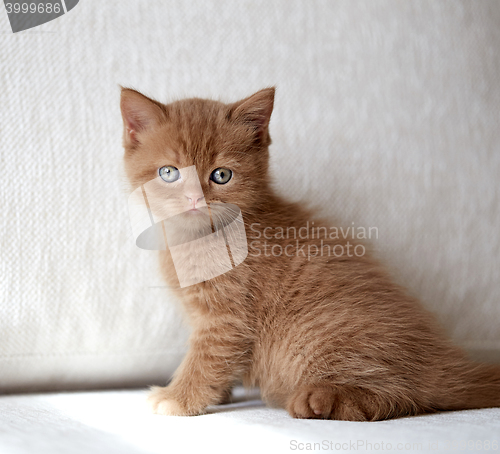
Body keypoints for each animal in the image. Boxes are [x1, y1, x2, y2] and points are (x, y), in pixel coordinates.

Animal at [121, 87, 500, 420]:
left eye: (222, 175)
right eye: (169, 173)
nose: (194, 199)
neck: (198, 239)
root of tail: (441, 363)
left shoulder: (228, 319)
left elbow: (206, 358)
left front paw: (178, 397)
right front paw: (218, 394)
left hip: (312, 335)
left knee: (399, 396)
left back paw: (320, 399)